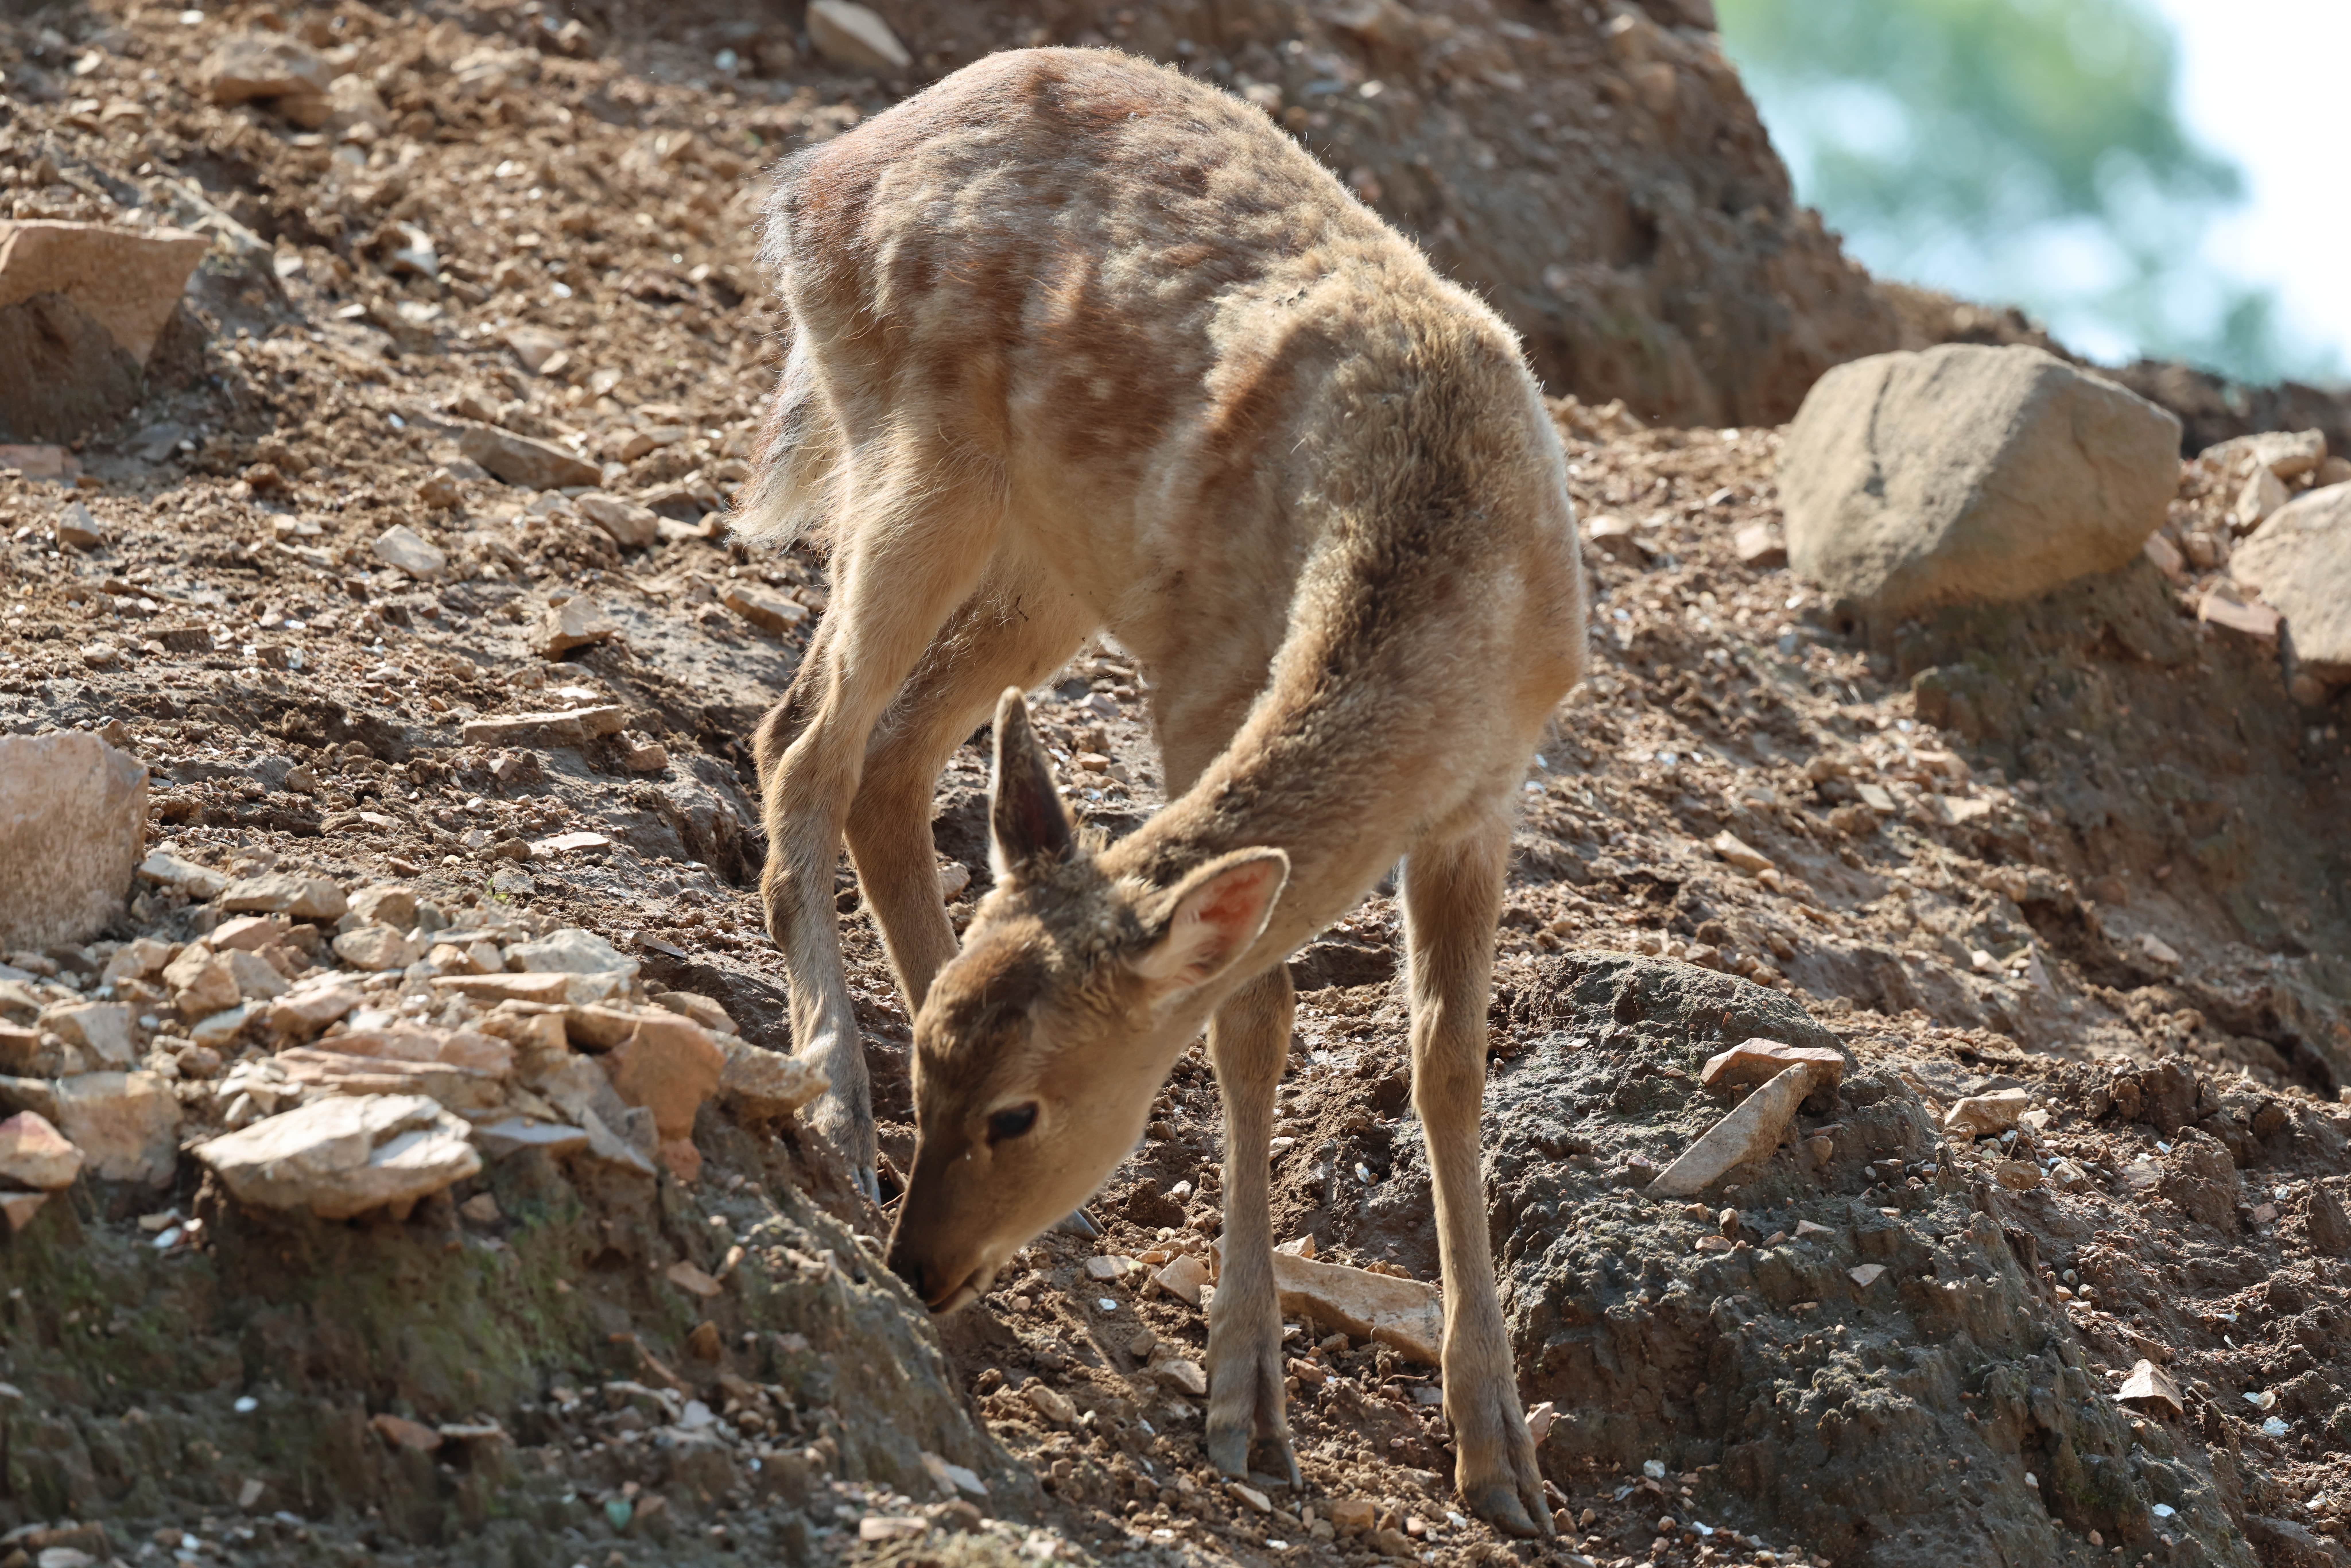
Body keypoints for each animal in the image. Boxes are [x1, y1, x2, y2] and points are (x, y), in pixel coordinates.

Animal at [739, 47, 1585, 1537]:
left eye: (1012, 1109)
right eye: (938, 1077)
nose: (915, 1267)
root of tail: (807, 187)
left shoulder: (1493, 791)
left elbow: (1448, 1063)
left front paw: (1498, 1447)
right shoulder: (1199, 679)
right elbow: (1251, 1014)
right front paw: (1246, 1400)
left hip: (1050, 561)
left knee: (895, 756)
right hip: (918, 455)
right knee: (805, 736)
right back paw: (829, 1097)